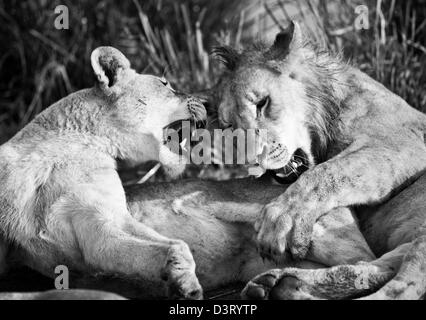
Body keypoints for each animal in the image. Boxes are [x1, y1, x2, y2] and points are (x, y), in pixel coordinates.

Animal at [211, 21, 426, 298]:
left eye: (262, 103)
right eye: (228, 126)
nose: (251, 161)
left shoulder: (401, 141)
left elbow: (325, 174)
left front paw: (281, 220)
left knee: (402, 285)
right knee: (378, 266)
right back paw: (279, 284)